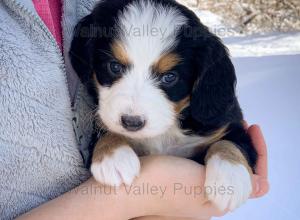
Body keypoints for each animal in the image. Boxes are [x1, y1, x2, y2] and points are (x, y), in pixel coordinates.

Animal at [69, 0, 256, 211]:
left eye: (169, 77)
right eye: (114, 66)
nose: (131, 123)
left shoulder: (227, 125)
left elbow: (229, 142)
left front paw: (230, 178)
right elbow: (106, 130)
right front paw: (113, 157)